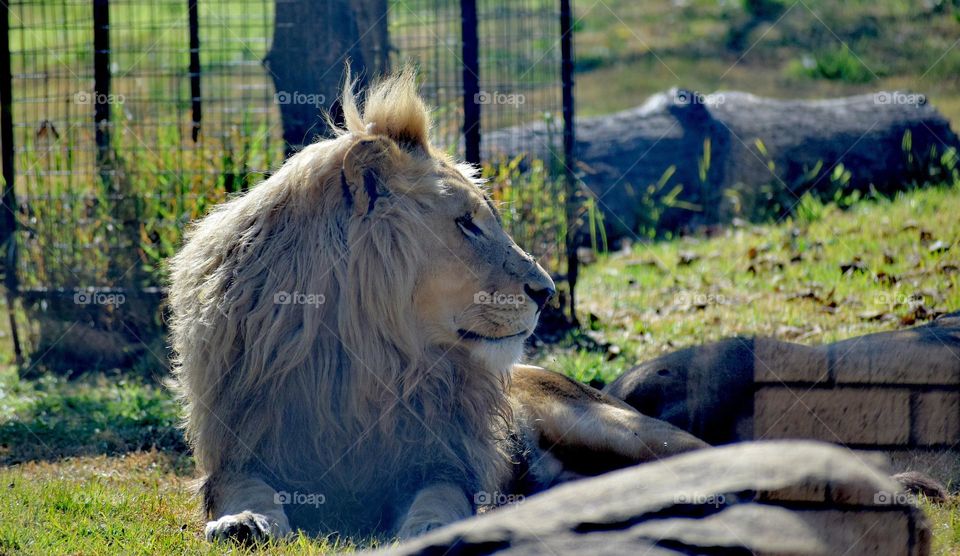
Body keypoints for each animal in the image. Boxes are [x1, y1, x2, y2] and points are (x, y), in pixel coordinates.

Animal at [167, 68, 707, 543]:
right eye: (467, 224)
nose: (548, 291)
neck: (367, 360)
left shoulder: (444, 461)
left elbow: (438, 497)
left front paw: (432, 527)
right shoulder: (239, 455)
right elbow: (248, 489)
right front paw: (243, 522)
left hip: (621, 431)